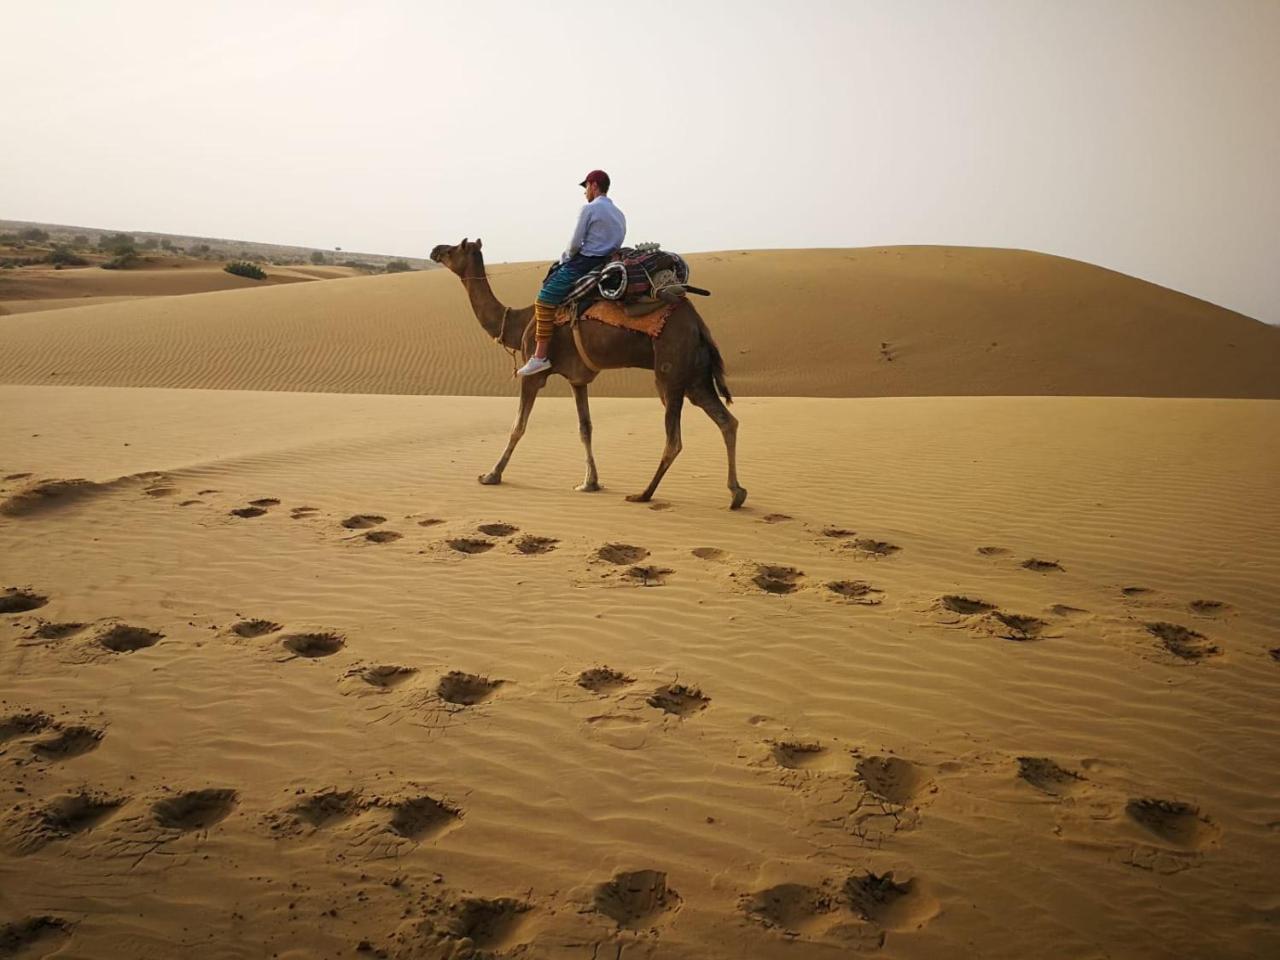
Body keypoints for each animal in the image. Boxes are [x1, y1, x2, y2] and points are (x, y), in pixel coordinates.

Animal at [432, 240, 747, 512]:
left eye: (455, 247)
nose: (435, 249)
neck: (518, 323)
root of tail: (698, 325)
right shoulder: (578, 379)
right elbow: (586, 428)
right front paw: (589, 482)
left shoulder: (533, 375)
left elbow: (518, 426)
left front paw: (491, 475)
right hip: (695, 376)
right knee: (727, 421)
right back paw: (736, 493)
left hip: (670, 371)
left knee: (674, 439)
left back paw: (643, 494)